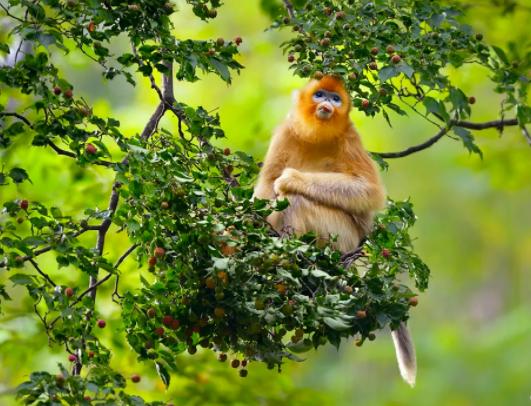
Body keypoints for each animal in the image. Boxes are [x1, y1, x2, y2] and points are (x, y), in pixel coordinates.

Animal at [256, 75, 418, 386]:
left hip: (343, 238)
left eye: (335, 98)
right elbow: (265, 188)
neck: (315, 137)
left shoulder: (350, 137)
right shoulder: (285, 132)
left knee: (295, 200)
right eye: (319, 94)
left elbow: (369, 192)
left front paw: (293, 179)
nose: (327, 104)